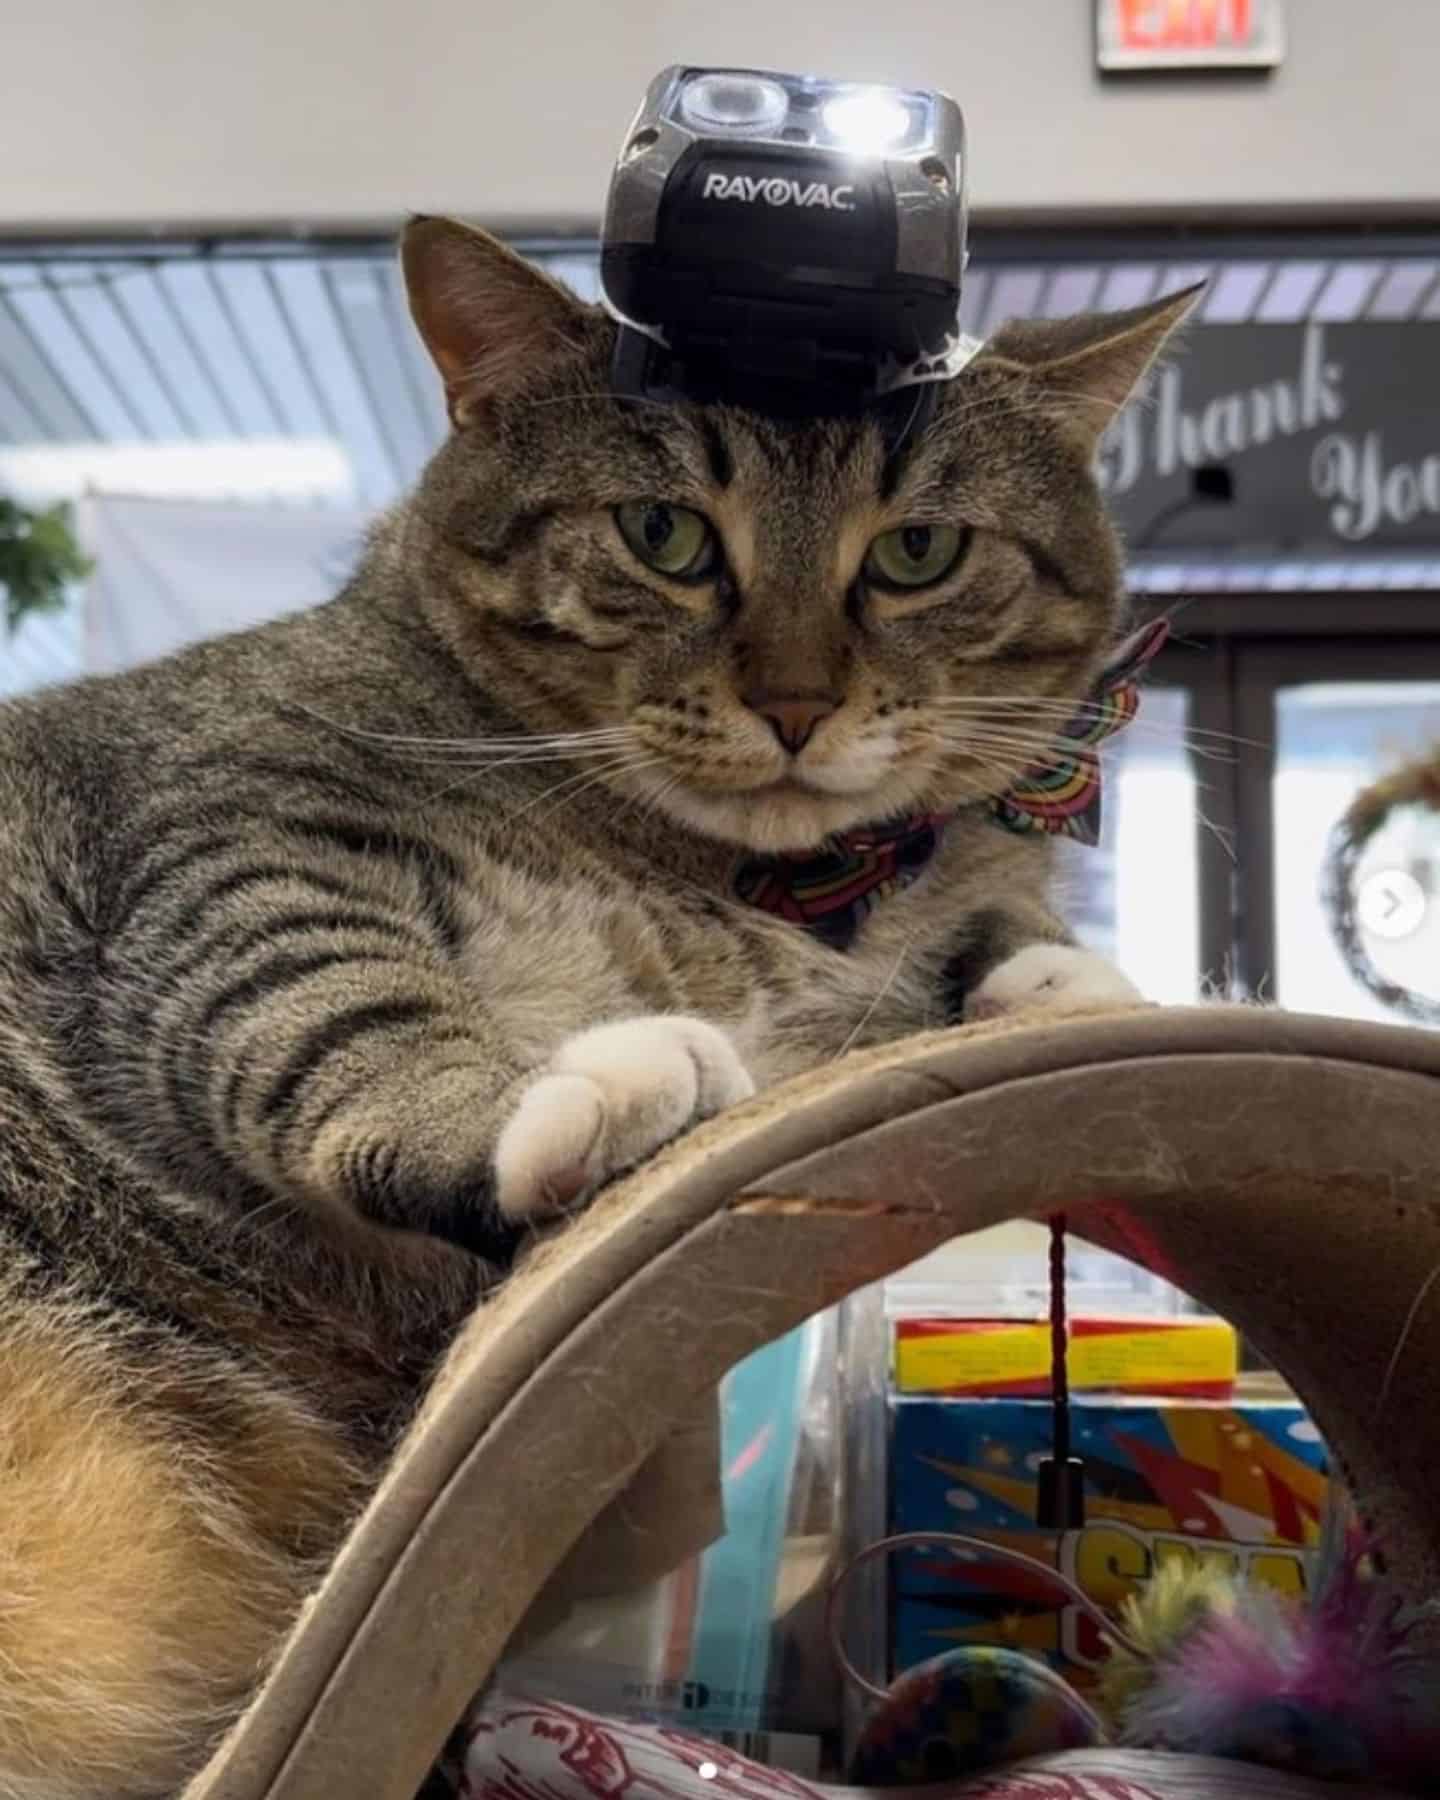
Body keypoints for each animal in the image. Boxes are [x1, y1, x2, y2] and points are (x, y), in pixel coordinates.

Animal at [0, 217, 1195, 1792]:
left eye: (919, 551)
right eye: (663, 535)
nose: (798, 702)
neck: (754, 889)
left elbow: (982, 919)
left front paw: (1051, 972)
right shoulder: (233, 842)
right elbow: (332, 1009)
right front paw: (564, 1091)